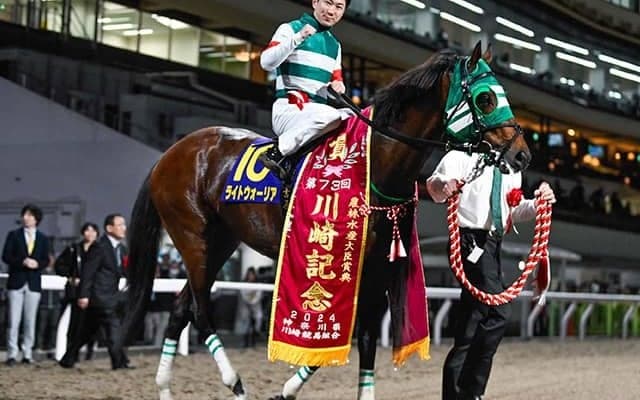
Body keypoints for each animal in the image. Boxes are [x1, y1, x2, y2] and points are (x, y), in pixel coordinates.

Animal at [116, 42, 531, 400]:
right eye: (486, 97)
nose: (522, 155)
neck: (375, 164)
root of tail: (171, 152)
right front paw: (286, 387)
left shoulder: (376, 268)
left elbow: (364, 338)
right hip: (192, 235)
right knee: (200, 310)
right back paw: (234, 383)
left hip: (220, 240)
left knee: (180, 308)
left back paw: (165, 388)